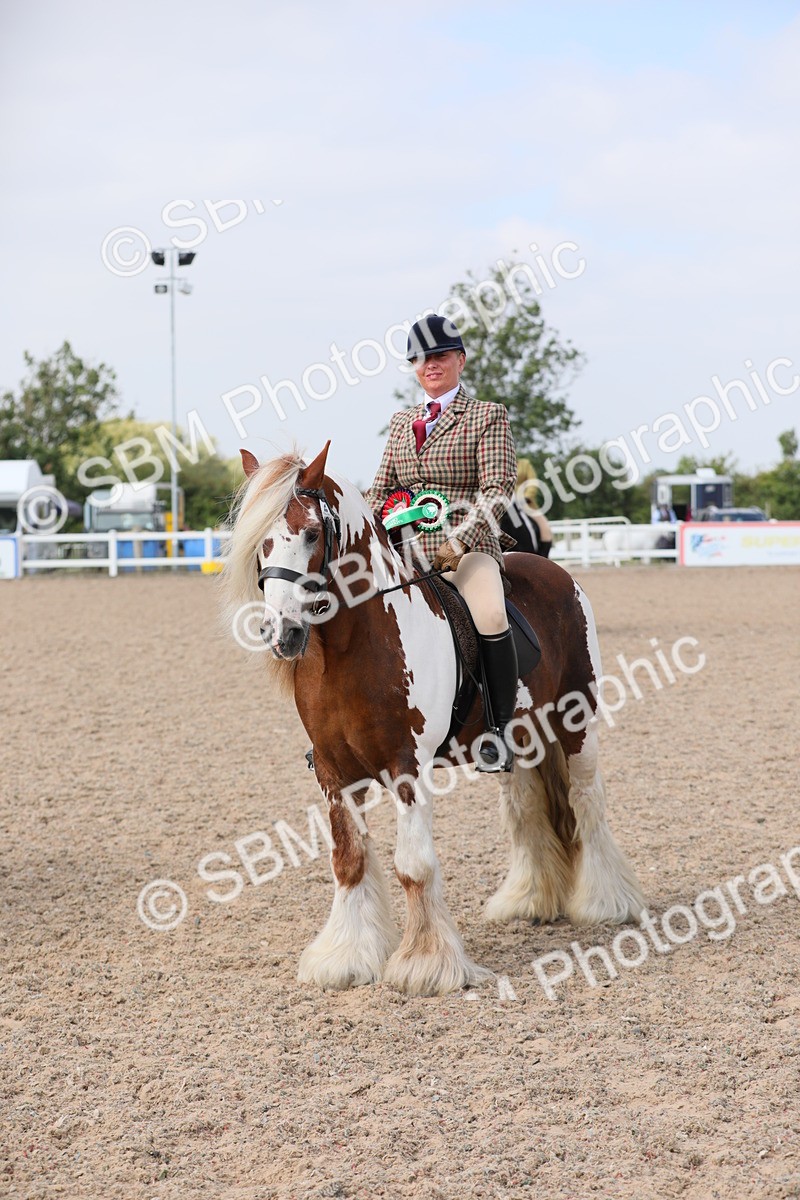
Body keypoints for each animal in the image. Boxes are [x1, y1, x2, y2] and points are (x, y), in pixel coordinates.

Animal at [221, 442, 645, 997]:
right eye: (261, 541)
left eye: (312, 533)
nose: (283, 633)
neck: (354, 647)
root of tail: (556, 573)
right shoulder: (334, 773)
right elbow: (348, 860)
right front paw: (346, 958)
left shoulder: (409, 768)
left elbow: (414, 866)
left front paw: (427, 964)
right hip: (519, 735)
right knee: (525, 807)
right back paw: (527, 900)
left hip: (577, 725)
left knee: (586, 801)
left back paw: (605, 903)